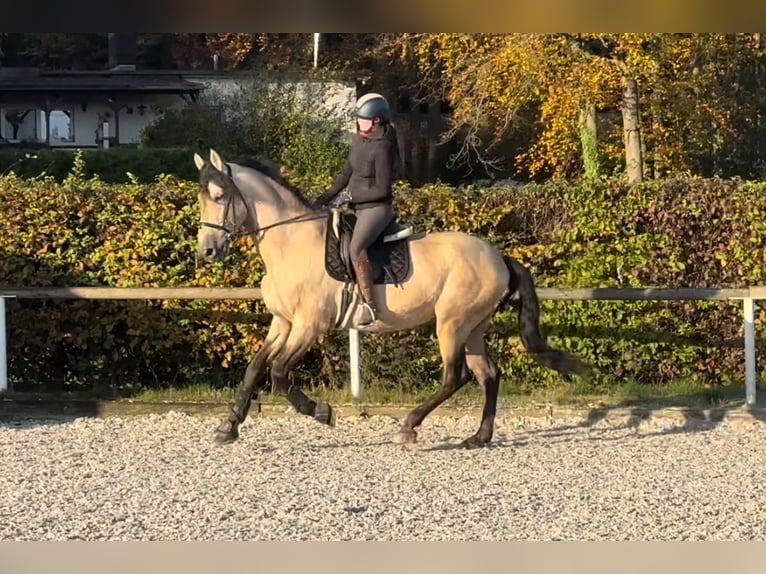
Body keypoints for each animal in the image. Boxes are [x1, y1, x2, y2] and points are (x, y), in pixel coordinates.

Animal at [195, 148, 592, 450]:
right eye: (201, 199)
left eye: (220, 196)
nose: (208, 251)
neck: (292, 242)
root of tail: (499, 257)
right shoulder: (284, 322)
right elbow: (254, 368)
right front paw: (228, 427)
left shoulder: (310, 325)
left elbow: (278, 372)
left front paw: (322, 412)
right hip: (474, 326)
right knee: (488, 375)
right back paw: (478, 437)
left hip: (452, 322)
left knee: (456, 376)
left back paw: (410, 426)